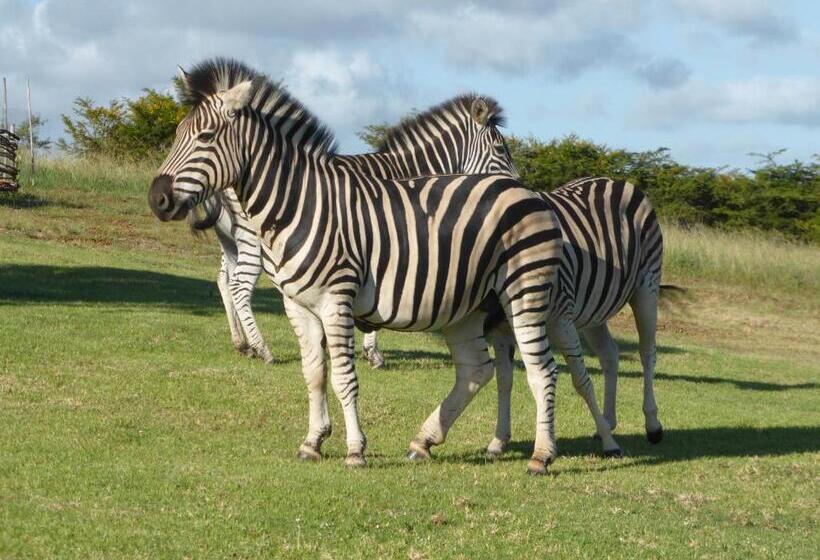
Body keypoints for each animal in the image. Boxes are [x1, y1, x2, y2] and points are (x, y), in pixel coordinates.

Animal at [187, 93, 518, 368]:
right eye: (500, 148)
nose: (518, 186)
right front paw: (373, 353)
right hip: (255, 242)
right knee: (239, 287)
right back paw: (262, 349)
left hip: (230, 241)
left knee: (224, 280)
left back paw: (242, 344)